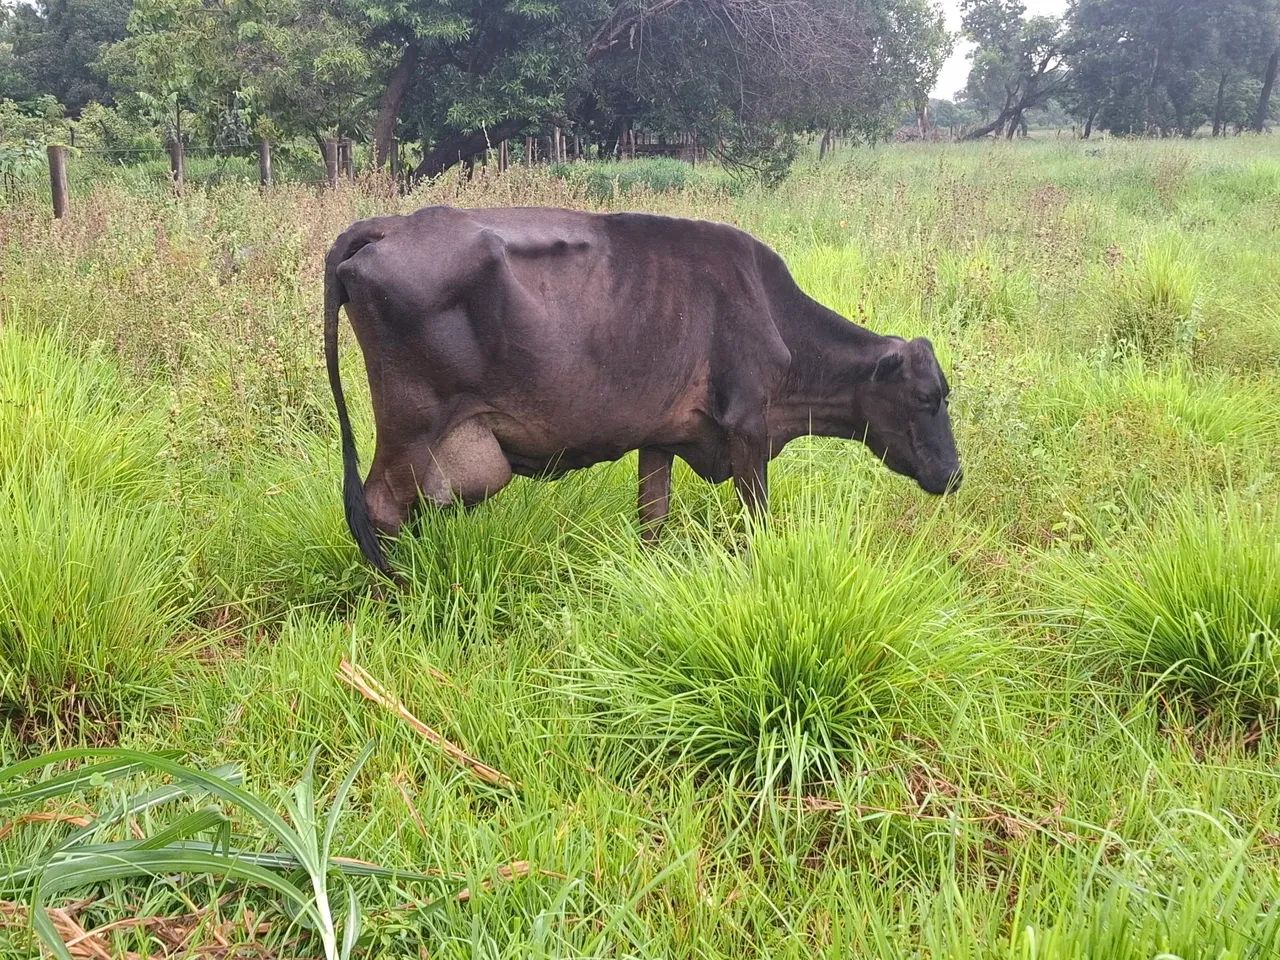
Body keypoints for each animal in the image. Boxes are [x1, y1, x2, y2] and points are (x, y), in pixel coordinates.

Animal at [324, 205, 962, 573]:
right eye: (926, 399)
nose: (954, 475)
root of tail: (388, 225)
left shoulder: (662, 435)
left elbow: (653, 520)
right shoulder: (748, 427)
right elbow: (758, 525)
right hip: (412, 425)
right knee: (380, 509)